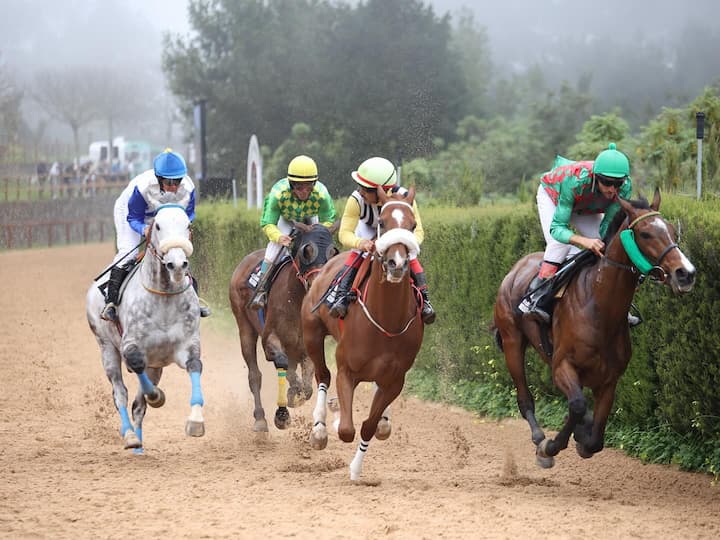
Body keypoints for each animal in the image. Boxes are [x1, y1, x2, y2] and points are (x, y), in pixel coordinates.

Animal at [87, 204, 207, 452]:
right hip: (106, 348)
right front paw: (157, 396)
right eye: (158, 225)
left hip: (155, 364)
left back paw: (139, 445)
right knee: (120, 394)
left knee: (137, 405)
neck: (163, 296)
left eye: (188, 224)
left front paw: (196, 421)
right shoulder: (130, 346)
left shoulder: (186, 346)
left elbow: (195, 366)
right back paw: (130, 436)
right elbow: (137, 368)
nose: (177, 264)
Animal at [231, 221, 344, 432]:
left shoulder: (307, 345)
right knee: (254, 375)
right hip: (244, 326)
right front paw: (283, 412)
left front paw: (295, 394)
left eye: (334, 251)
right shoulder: (270, 340)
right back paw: (260, 419)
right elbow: (284, 365)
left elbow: (307, 385)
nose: (318, 285)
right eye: (306, 251)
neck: (297, 303)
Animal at [300, 187, 424, 480]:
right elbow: (346, 428)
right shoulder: (347, 370)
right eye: (382, 223)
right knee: (323, 374)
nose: (397, 263)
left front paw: (356, 469)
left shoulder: (395, 379)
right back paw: (320, 428)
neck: (386, 321)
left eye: (413, 225)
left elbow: (368, 425)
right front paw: (333, 423)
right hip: (312, 333)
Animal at [492, 190, 696, 468]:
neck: (600, 308)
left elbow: (596, 440)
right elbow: (577, 405)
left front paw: (583, 437)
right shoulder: (562, 366)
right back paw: (539, 439)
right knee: (525, 398)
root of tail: (516, 269)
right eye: (645, 234)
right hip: (512, 342)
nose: (686, 273)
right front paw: (550, 447)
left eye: (673, 231)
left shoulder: (609, 380)